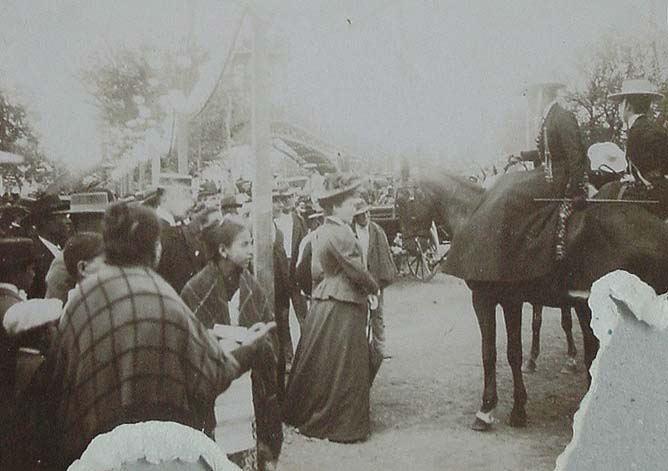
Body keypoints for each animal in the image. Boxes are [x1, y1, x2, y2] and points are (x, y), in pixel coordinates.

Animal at [396, 168, 668, 434]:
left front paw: (499, 410)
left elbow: (503, 353)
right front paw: (503, 407)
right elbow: (499, 352)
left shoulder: (494, 300)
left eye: (404, 202)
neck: (473, 212)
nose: (409, 248)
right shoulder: (503, 301)